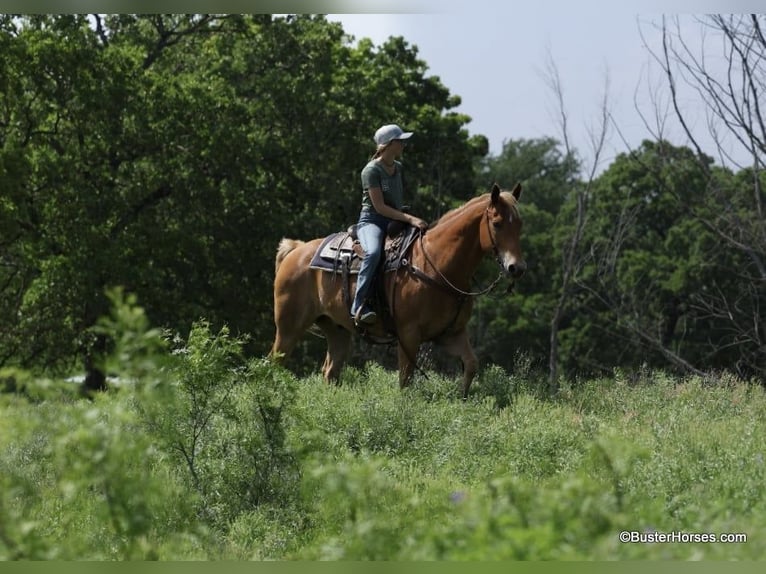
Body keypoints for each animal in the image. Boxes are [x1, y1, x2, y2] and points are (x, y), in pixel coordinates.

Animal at [270, 182, 528, 398]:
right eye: (497, 223)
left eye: (520, 225)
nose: (516, 268)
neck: (435, 264)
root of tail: (297, 250)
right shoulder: (409, 335)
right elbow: (405, 380)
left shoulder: (451, 334)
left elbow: (471, 364)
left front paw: (461, 400)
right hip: (289, 328)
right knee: (276, 362)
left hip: (337, 330)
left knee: (330, 371)